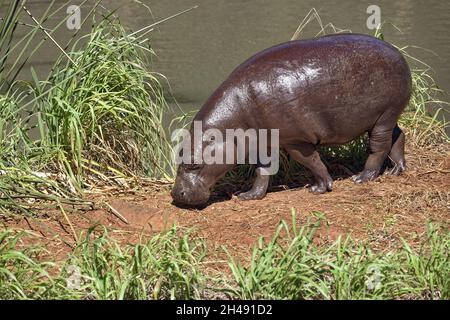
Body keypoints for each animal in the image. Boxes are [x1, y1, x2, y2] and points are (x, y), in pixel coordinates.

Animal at [171, 33, 412, 206]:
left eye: (194, 164)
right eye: (178, 156)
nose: (175, 194)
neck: (231, 122)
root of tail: (398, 53)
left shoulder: (295, 140)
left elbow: (312, 161)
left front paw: (319, 188)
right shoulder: (264, 142)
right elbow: (262, 170)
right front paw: (248, 195)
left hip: (384, 115)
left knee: (378, 146)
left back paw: (362, 178)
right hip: (386, 116)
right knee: (398, 135)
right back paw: (396, 169)